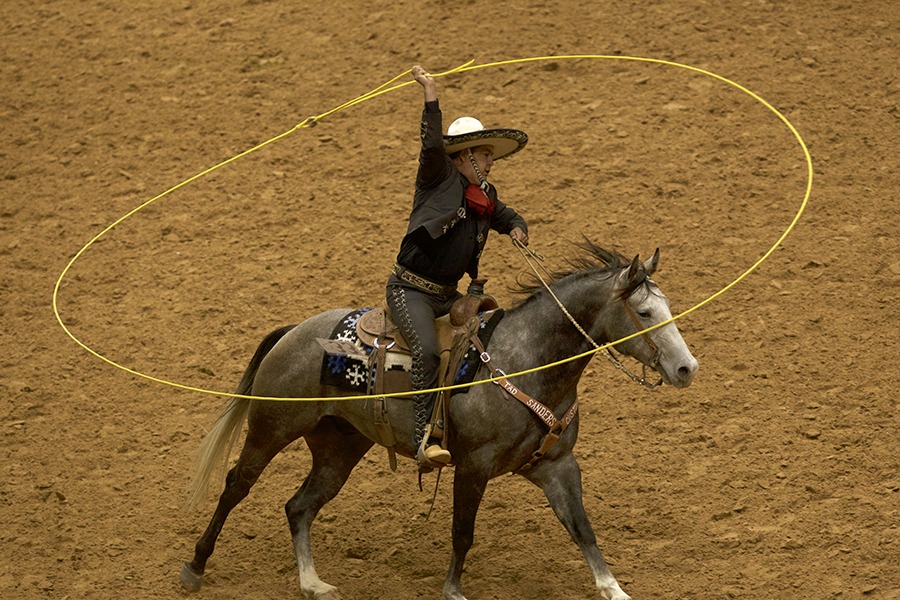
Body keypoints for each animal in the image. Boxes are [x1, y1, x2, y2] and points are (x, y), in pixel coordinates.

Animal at [180, 241, 699, 600]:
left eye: (669, 307)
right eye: (645, 312)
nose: (686, 368)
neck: (526, 359)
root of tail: (295, 332)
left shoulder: (557, 465)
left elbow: (582, 528)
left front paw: (614, 588)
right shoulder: (472, 467)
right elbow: (462, 532)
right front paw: (453, 590)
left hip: (338, 447)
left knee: (299, 506)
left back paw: (312, 583)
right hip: (272, 428)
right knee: (236, 485)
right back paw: (195, 568)